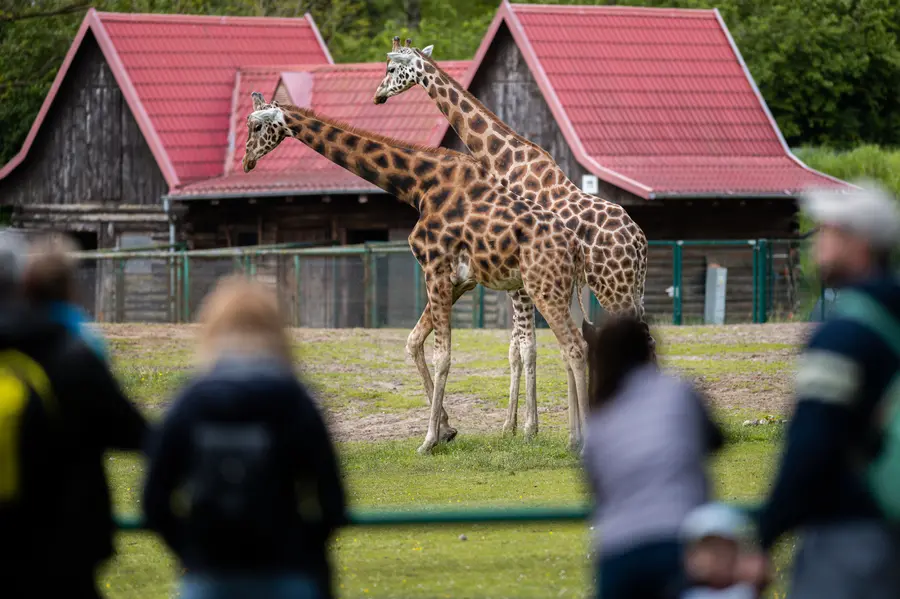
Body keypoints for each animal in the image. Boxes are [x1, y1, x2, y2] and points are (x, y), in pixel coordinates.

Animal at [243, 91, 596, 452]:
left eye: (255, 126)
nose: (247, 161)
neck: (418, 187)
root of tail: (576, 248)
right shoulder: (459, 281)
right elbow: (414, 341)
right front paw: (446, 428)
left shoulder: (435, 268)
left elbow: (443, 355)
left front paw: (428, 439)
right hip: (558, 290)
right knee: (568, 347)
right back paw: (571, 436)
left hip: (543, 288)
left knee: (574, 346)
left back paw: (580, 441)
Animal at [372, 38, 652, 440]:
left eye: (392, 68)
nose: (378, 95)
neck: (504, 159)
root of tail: (639, 242)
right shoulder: (521, 280)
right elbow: (519, 348)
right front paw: (518, 426)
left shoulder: (520, 281)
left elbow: (526, 347)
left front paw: (529, 428)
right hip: (629, 287)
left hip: (612, 288)